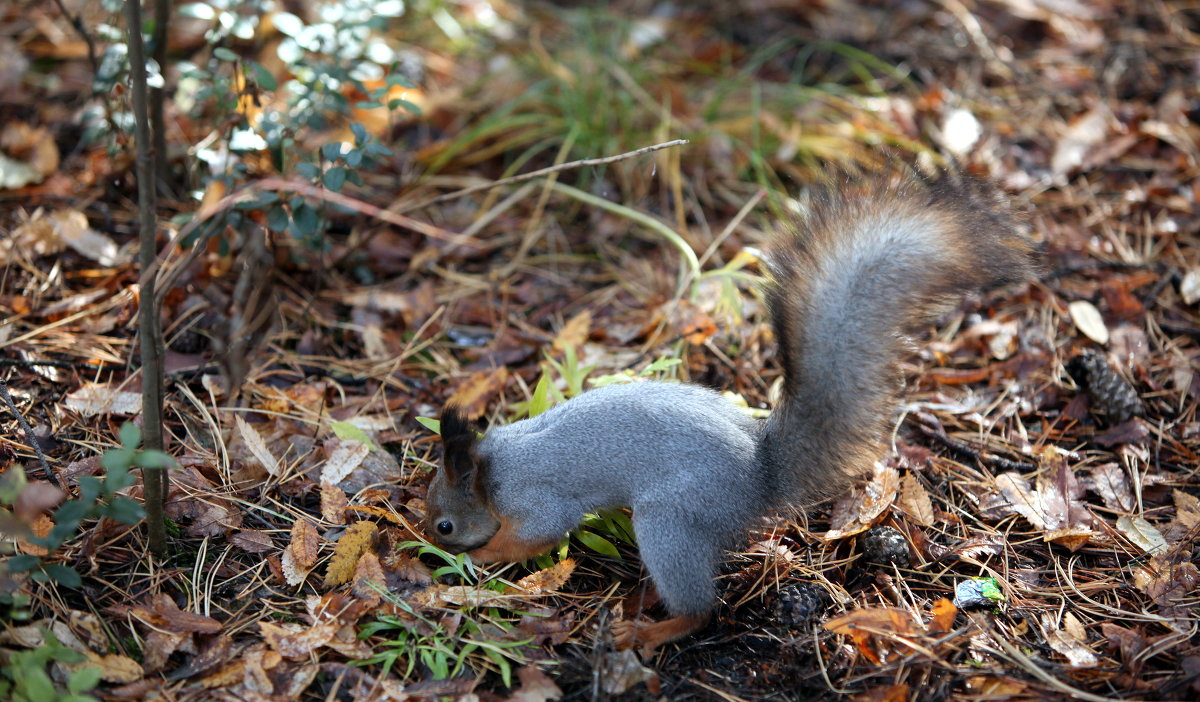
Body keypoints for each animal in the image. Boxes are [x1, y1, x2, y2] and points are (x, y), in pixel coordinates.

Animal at [422, 172, 1032, 652]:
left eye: (445, 523)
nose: (431, 549)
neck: (492, 467)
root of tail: (760, 480)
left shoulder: (537, 496)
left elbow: (540, 533)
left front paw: (487, 555)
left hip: (672, 518)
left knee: (700, 609)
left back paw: (651, 629)